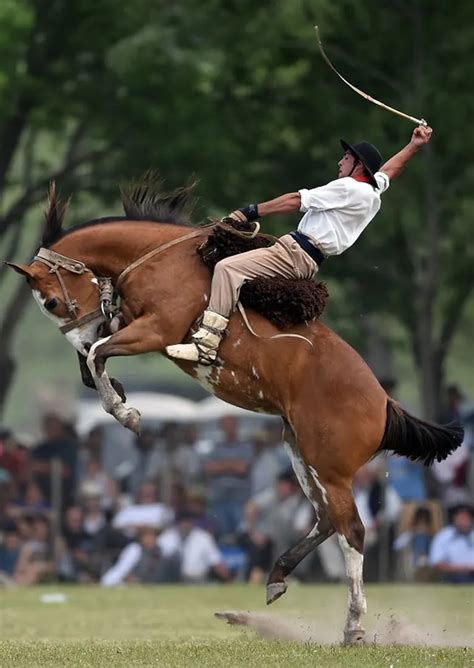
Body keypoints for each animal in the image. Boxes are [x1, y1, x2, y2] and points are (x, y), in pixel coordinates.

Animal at [5, 176, 462, 640]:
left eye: (52, 302)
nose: (75, 335)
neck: (159, 259)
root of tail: (384, 401)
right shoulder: (126, 323)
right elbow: (96, 354)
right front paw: (110, 385)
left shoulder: (156, 330)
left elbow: (99, 350)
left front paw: (124, 411)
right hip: (302, 454)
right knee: (326, 520)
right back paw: (278, 578)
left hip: (329, 467)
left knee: (351, 530)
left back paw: (352, 626)